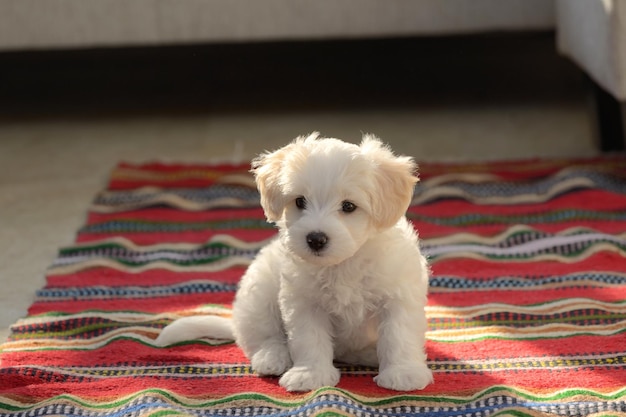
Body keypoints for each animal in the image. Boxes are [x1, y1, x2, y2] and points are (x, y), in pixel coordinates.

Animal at [155, 132, 434, 390]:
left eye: (348, 206)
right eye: (300, 201)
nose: (316, 239)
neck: (344, 263)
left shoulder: (398, 296)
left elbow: (399, 336)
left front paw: (403, 373)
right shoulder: (303, 302)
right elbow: (309, 339)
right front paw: (310, 375)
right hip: (259, 295)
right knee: (263, 337)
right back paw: (273, 358)